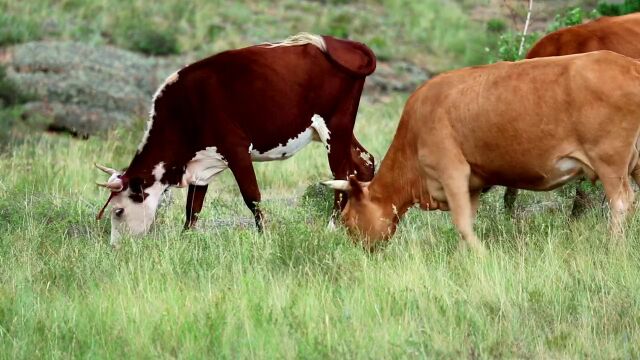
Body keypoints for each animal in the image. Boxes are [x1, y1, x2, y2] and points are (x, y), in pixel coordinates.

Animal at [94, 33, 376, 248]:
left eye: (118, 211)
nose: (114, 247)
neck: (185, 108)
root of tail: (347, 43)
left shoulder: (236, 149)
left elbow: (252, 197)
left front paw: (264, 237)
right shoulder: (202, 165)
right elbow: (193, 209)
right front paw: (186, 240)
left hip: (334, 128)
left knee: (342, 174)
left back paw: (332, 227)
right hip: (335, 131)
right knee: (365, 162)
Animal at [324, 51, 640, 253]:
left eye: (347, 219)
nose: (361, 252)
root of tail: (628, 64)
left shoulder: (452, 171)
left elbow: (462, 224)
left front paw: (481, 256)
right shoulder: (473, 184)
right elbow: (468, 222)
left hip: (610, 161)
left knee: (621, 202)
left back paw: (613, 247)